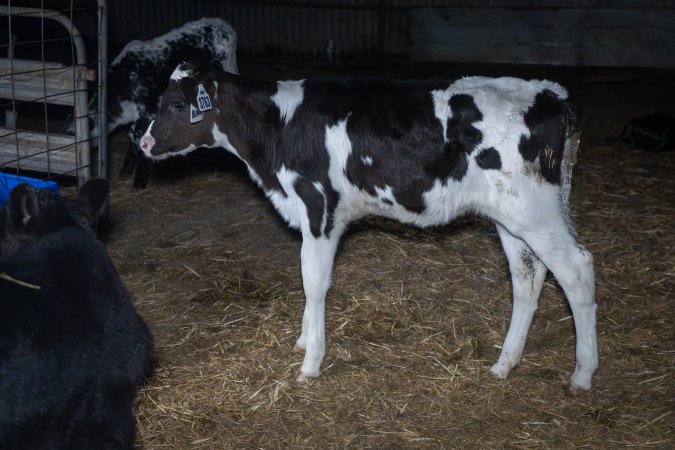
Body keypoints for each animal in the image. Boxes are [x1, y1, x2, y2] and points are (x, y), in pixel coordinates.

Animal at [64, 17, 238, 190]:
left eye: (73, 137)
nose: (68, 180)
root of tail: (223, 24)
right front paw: (126, 172)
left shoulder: (146, 112)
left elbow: (140, 142)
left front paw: (139, 181)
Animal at [139, 62, 598, 392]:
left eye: (177, 105)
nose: (142, 143)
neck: (278, 127)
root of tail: (552, 94)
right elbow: (309, 281)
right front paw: (304, 340)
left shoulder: (319, 209)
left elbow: (313, 283)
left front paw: (310, 362)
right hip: (513, 217)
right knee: (527, 276)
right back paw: (505, 363)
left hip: (535, 211)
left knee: (576, 270)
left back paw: (582, 374)